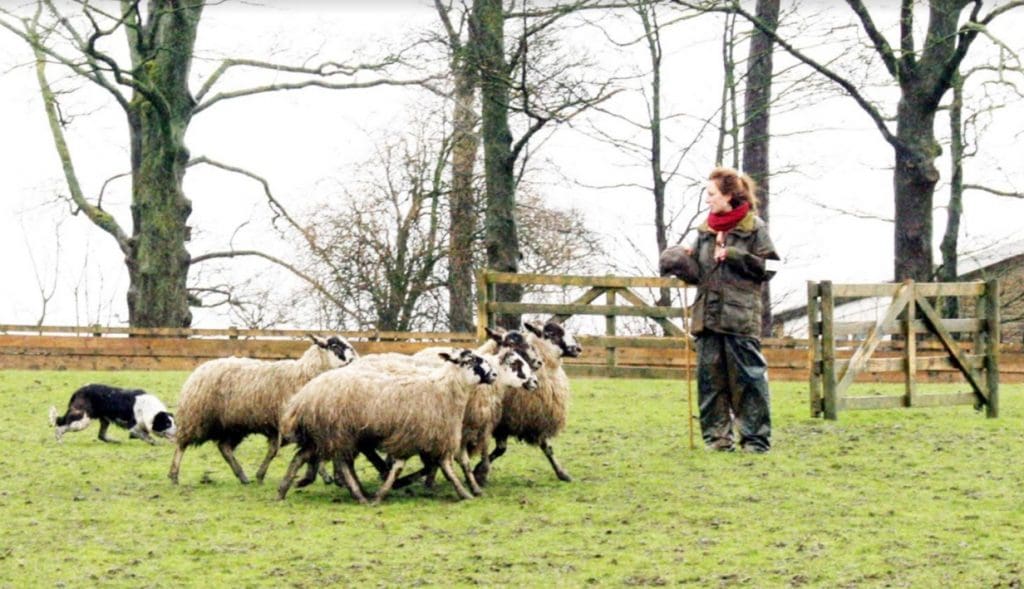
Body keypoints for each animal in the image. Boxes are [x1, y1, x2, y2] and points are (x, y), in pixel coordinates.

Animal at [48, 385, 177, 444]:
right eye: (167, 424)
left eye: (174, 423)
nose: (178, 431)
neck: (148, 409)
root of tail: (78, 391)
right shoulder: (133, 427)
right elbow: (148, 437)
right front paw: (156, 443)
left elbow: (144, 435)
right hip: (82, 420)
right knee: (60, 426)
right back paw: (59, 441)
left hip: (104, 420)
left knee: (101, 436)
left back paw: (114, 441)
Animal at [166, 333, 356, 485]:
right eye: (335, 346)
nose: (353, 360)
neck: (304, 374)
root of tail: (198, 371)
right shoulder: (284, 424)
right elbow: (277, 451)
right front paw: (261, 475)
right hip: (197, 417)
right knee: (181, 444)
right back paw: (174, 475)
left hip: (234, 425)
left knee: (224, 447)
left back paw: (242, 476)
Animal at [272, 350, 495, 508]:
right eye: (471, 359)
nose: (493, 374)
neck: (444, 389)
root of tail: (303, 397)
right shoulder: (416, 437)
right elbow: (417, 468)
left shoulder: (431, 439)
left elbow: (448, 467)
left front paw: (469, 492)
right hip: (337, 432)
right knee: (342, 463)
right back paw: (359, 495)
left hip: (324, 434)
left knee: (301, 456)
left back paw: (283, 491)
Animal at [475, 319, 581, 485]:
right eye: (551, 333)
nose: (578, 347)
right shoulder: (503, 423)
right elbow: (500, 449)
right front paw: (479, 472)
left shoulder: (536, 419)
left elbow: (547, 448)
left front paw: (562, 473)